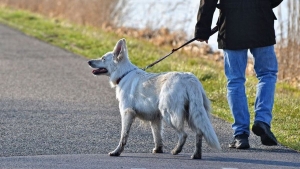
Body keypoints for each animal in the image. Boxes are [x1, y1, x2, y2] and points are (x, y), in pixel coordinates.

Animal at [86, 38, 220, 158]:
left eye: (103, 58)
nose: (89, 62)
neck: (123, 74)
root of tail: (190, 79)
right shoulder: (155, 119)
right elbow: (157, 136)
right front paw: (158, 150)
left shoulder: (127, 113)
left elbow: (123, 136)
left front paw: (117, 152)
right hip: (192, 114)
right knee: (199, 133)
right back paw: (196, 155)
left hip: (169, 115)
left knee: (184, 134)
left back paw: (176, 150)